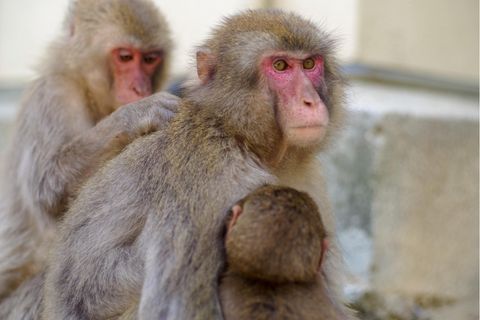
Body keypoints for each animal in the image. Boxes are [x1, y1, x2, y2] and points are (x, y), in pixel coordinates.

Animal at [0, 0, 174, 300]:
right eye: (125, 57)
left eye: (150, 59)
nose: (140, 87)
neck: (86, 88)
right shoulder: (53, 95)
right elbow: (49, 190)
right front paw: (137, 114)